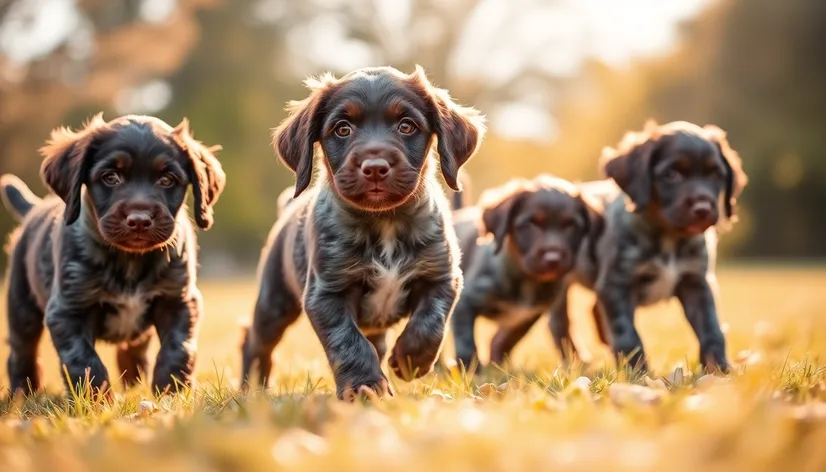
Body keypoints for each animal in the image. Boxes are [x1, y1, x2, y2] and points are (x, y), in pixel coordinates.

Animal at [0, 115, 224, 398]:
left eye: (167, 180)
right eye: (111, 177)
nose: (139, 220)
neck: (129, 261)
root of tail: (34, 207)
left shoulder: (179, 300)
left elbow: (177, 349)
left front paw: (170, 392)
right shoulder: (67, 309)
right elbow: (84, 360)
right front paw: (95, 400)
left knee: (133, 350)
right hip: (22, 309)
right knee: (21, 353)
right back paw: (21, 395)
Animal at [238, 64, 482, 400]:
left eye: (407, 126)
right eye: (342, 129)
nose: (375, 166)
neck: (385, 223)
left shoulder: (442, 277)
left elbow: (429, 324)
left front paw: (409, 361)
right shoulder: (326, 293)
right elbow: (348, 343)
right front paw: (364, 386)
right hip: (274, 302)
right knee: (255, 340)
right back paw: (251, 389)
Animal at [450, 174, 600, 368]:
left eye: (571, 225)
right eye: (530, 224)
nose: (553, 259)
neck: (526, 279)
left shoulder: (528, 314)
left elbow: (505, 339)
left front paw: (497, 365)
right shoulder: (465, 303)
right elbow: (466, 342)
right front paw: (470, 370)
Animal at [552, 121, 748, 372]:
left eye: (716, 175)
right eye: (671, 174)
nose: (703, 209)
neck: (669, 237)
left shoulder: (697, 282)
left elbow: (711, 328)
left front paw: (719, 368)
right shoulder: (616, 284)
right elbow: (627, 333)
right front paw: (637, 372)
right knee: (561, 325)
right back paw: (577, 363)